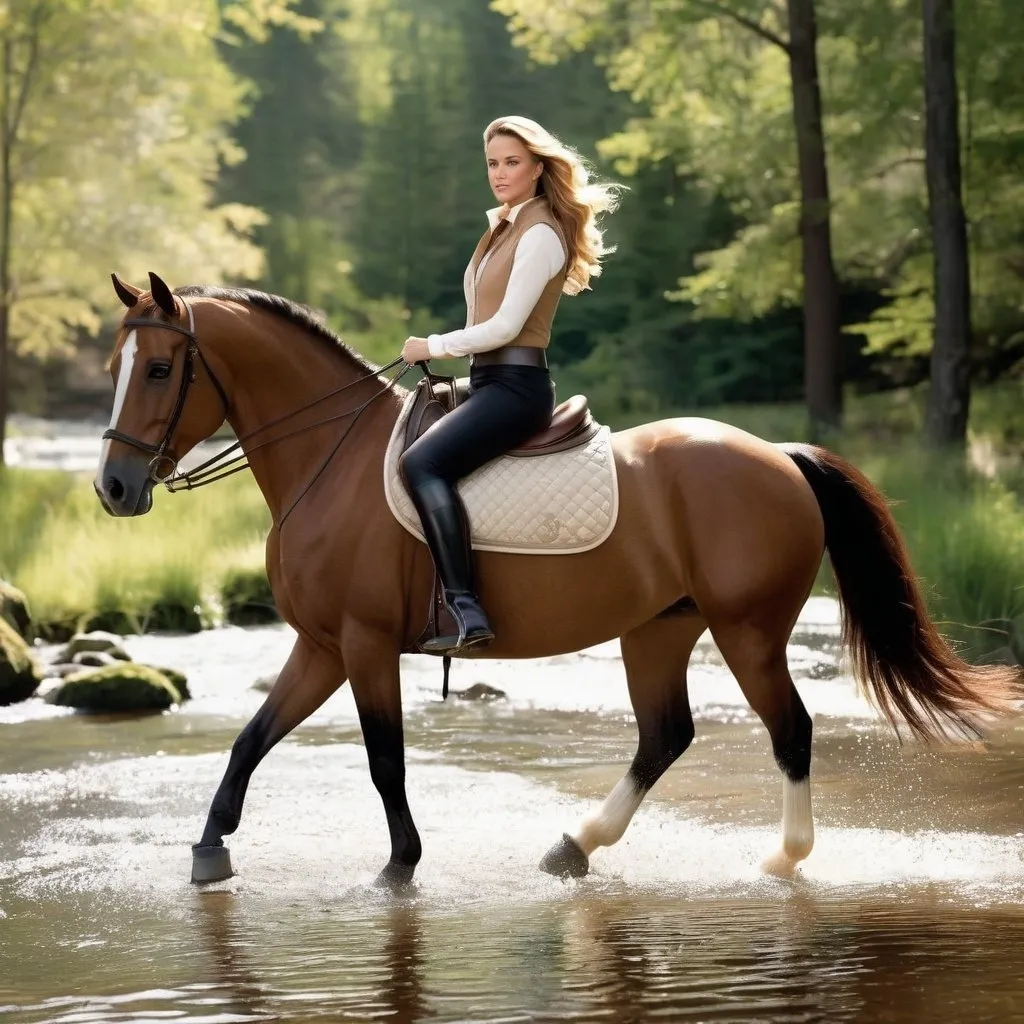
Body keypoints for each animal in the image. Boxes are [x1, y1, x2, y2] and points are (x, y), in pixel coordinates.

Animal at [94, 272, 1015, 888]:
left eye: (160, 370)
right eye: (116, 366)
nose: (113, 488)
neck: (332, 459)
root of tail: (779, 457)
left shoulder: (362, 644)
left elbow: (384, 759)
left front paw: (400, 866)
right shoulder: (320, 645)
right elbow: (251, 738)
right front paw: (210, 849)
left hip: (748, 630)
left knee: (789, 730)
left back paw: (784, 859)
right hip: (660, 627)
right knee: (664, 736)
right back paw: (575, 846)